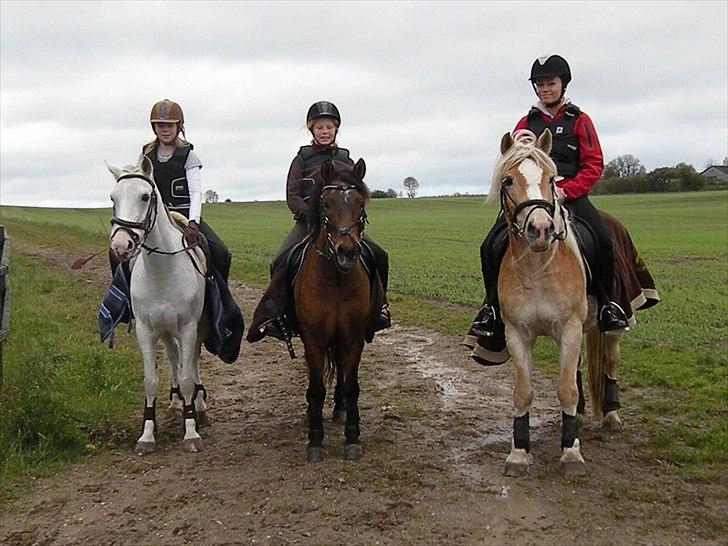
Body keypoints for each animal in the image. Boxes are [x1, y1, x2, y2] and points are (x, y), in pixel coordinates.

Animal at [108, 155, 210, 452]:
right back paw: (176, 404)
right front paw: (147, 435)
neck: (162, 270)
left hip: (197, 328)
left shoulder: (188, 328)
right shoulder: (146, 330)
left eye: (145, 196)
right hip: (164, 331)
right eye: (113, 198)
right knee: (174, 358)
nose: (121, 245)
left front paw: (191, 432)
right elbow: (151, 381)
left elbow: (187, 378)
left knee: (192, 362)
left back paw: (198, 406)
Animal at [292, 156, 370, 460]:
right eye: (325, 204)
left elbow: (351, 386)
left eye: (360, 203)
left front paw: (352, 437)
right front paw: (315, 440)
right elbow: (315, 389)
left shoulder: (354, 337)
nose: (346, 251)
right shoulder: (313, 340)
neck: (336, 278)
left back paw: (340, 411)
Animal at [492, 130, 624, 474]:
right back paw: (581, 415)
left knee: (611, 359)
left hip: (612, 324)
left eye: (552, 179)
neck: (537, 268)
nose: (540, 229)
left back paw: (612, 414)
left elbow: (566, 389)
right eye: (508, 180)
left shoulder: (569, 328)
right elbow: (523, 392)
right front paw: (519, 452)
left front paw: (570, 451)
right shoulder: (517, 333)